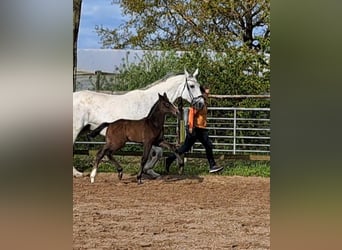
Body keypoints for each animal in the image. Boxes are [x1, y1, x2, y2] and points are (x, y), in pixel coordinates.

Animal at [73, 68, 204, 178]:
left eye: (199, 86)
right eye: (192, 86)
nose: (201, 104)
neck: (151, 103)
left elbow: (158, 152)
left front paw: (151, 172)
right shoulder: (148, 138)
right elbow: (156, 153)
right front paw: (146, 170)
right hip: (76, 130)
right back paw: (77, 173)